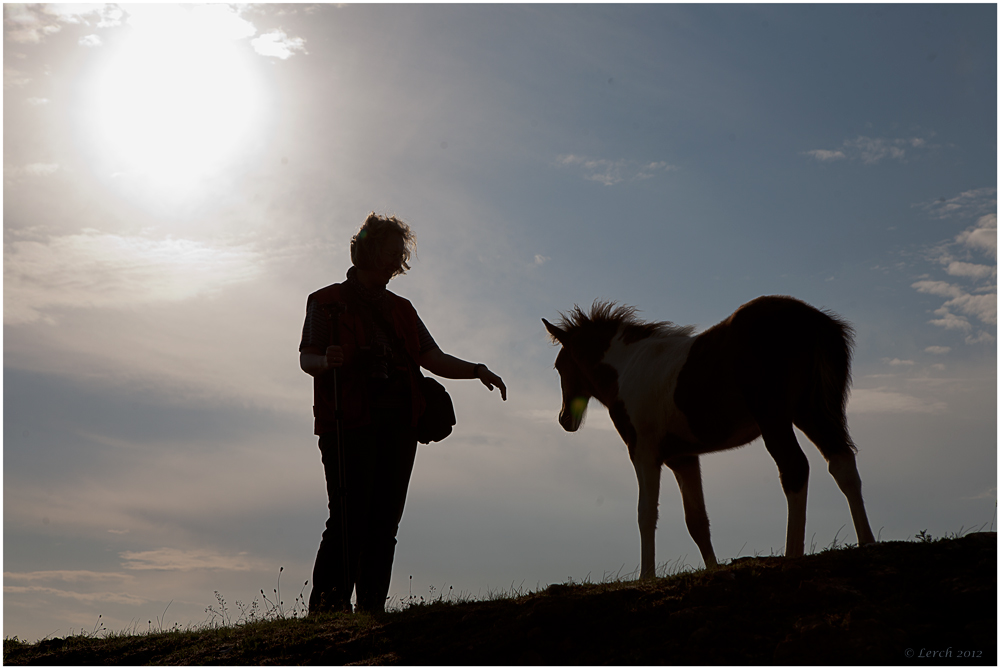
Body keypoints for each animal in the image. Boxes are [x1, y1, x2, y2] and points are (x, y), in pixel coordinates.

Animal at [544, 294, 880, 576]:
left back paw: (792, 554)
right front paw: (713, 569)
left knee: (795, 468)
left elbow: (646, 514)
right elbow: (697, 521)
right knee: (841, 463)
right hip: (812, 412)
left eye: (560, 366)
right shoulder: (683, 458)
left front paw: (647, 577)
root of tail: (813, 319)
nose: (564, 420)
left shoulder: (643, 453)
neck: (626, 368)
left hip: (776, 418)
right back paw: (866, 543)